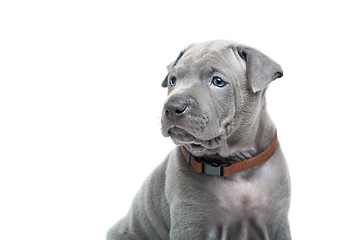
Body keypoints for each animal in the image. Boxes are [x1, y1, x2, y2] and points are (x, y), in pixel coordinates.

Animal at [107, 40, 290, 239]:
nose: (173, 107)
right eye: (173, 80)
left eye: (218, 82)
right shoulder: (190, 225)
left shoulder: (278, 224)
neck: (233, 167)